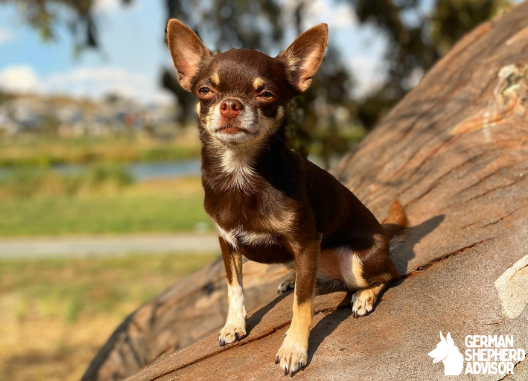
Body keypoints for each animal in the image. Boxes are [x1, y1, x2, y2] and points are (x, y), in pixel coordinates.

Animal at [167, 19, 406, 376]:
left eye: (265, 94)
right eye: (205, 91)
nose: (231, 104)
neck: (240, 173)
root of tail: (384, 237)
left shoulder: (305, 242)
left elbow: (302, 306)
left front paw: (294, 348)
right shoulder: (227, 243)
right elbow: (234, 288)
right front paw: (233, 325)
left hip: (356, 261)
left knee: (388, 274)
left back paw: (363, 296)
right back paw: (292, 280)